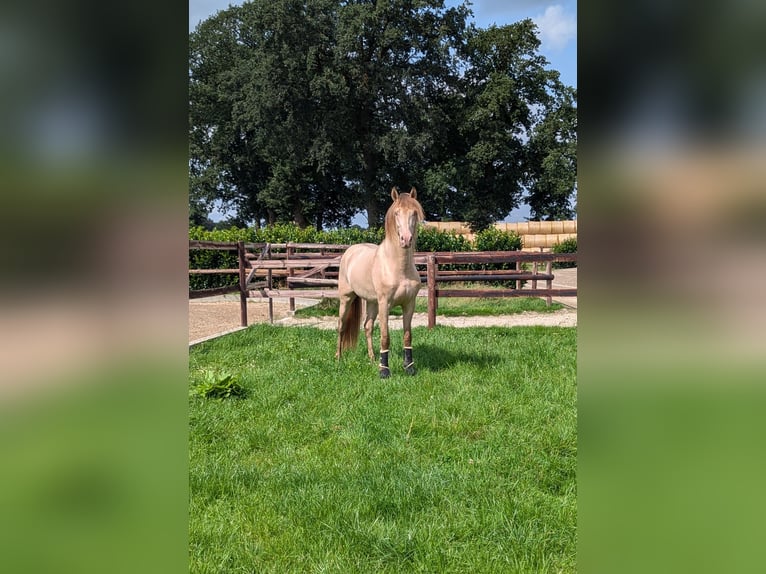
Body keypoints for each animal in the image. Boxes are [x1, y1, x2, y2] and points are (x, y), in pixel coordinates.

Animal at [338, 187, 426, 380]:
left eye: (414, 213)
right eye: (396, 213)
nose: (406, 239)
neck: (398, 267)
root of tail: (350, 251)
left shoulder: (409, 304)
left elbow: (407, 336)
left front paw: (409, 367)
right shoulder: (385, 304)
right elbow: (385, 337)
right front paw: (384, 371)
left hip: (372, 302)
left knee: (367, 327)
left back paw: (372, 359)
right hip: (346, 299)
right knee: (341, 326)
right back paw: (338, 358)